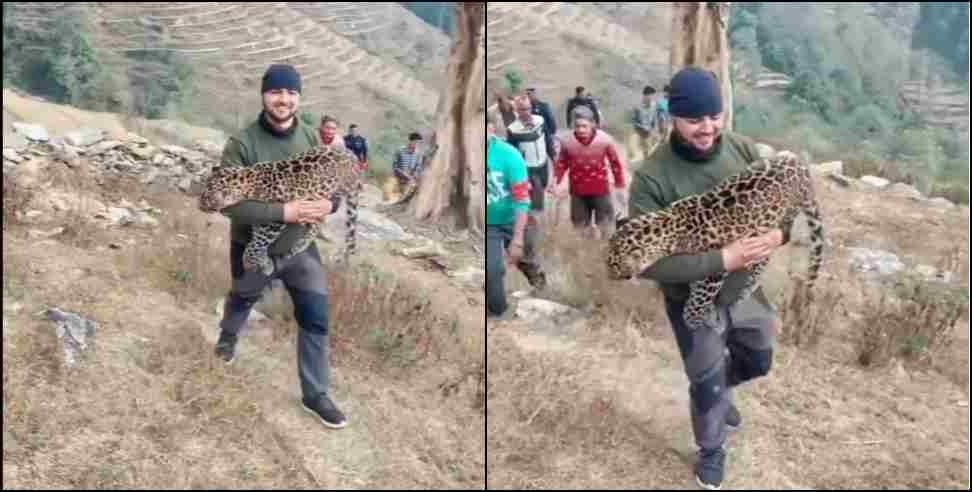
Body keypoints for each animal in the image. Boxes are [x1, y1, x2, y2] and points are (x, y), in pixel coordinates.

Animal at [198, 146, 364, 276]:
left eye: (206, 198)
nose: (199, 205)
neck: (249, 181)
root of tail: (353, 156)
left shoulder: (272, 224)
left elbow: (255, 245)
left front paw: (251, 263)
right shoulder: (261, 223)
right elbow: (257, 243)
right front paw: (265, 263)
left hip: (329, 194)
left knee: (318, 223)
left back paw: (300, 245)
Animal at [608, 152, 828, 332]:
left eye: (614, 265)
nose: (610, 276)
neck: (669, 226)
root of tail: (802, 168)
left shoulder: (714, 273)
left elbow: (699, 300)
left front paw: (694, 320)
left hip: (780, 220)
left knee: (762, 261)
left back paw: (746, 289)